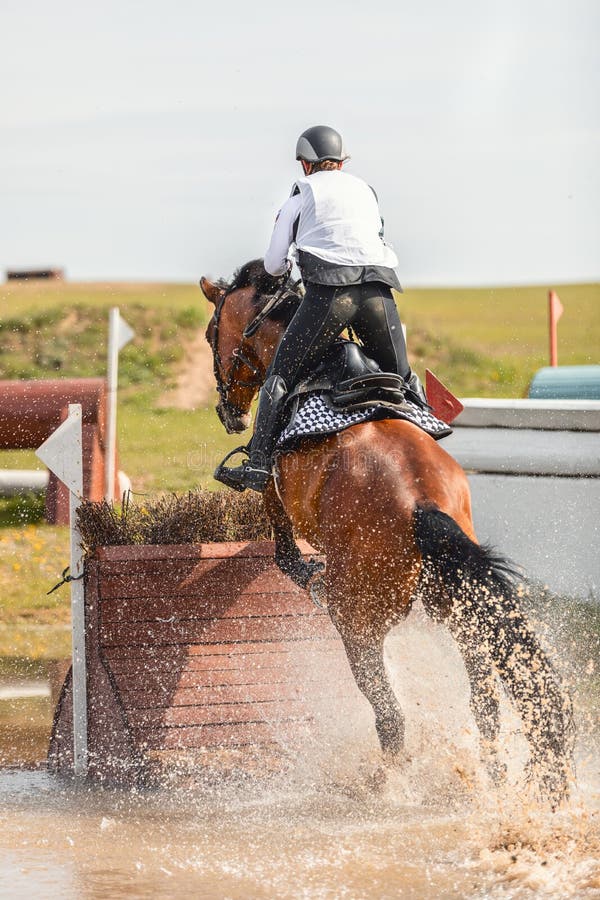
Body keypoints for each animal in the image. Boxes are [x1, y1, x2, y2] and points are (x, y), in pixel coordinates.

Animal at [200, 258, 572, 800]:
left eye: (212, 334)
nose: (228, 414)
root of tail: (422, 505)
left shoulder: (271, 489)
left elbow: (284, 550)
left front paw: (307, 574)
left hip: (361, 621)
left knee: (391, 715)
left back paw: (386, 786)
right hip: (459, 610)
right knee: (484, 702)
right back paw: (492, 779)